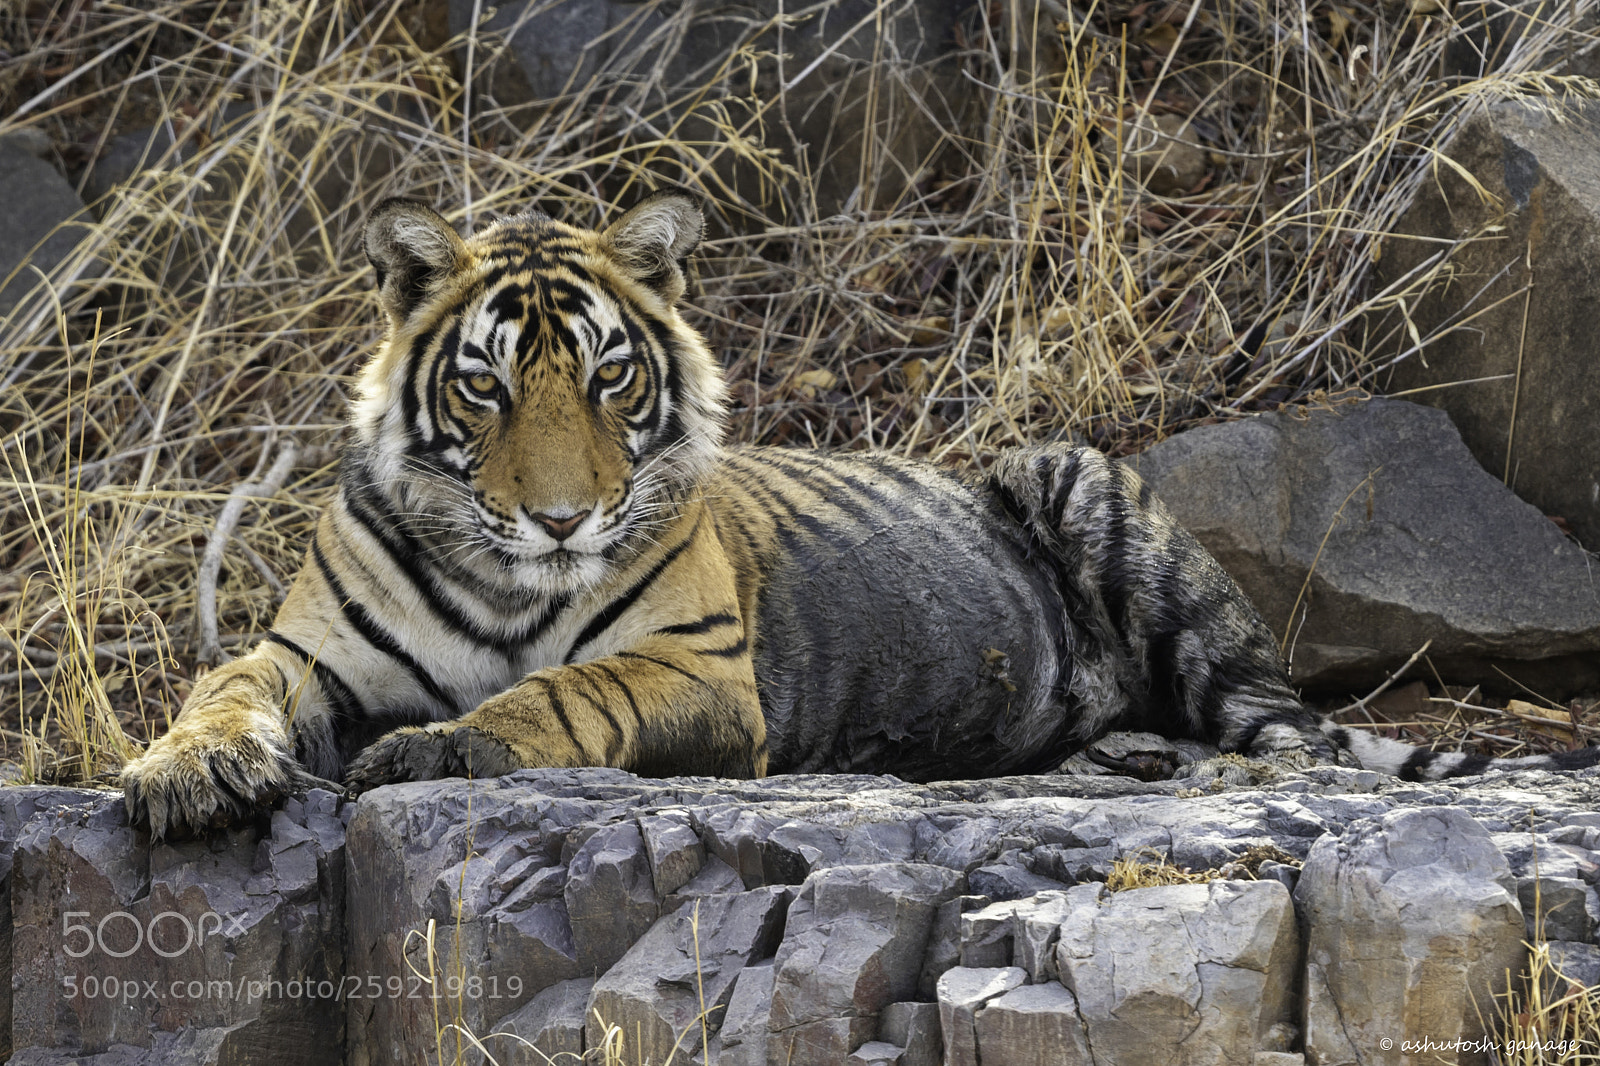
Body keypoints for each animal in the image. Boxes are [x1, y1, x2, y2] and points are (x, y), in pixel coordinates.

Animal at [120, 191, 1600, 839]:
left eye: (607, 377)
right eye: (484, 385)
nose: (559, 519)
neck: (504, 578)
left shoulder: (697, 668)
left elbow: (565, 692)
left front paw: (441, 746)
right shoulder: (309, 655)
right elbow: (219, 690)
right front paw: (183, 774)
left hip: (1080, 477)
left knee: (1285, 724)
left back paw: (1219, 771)